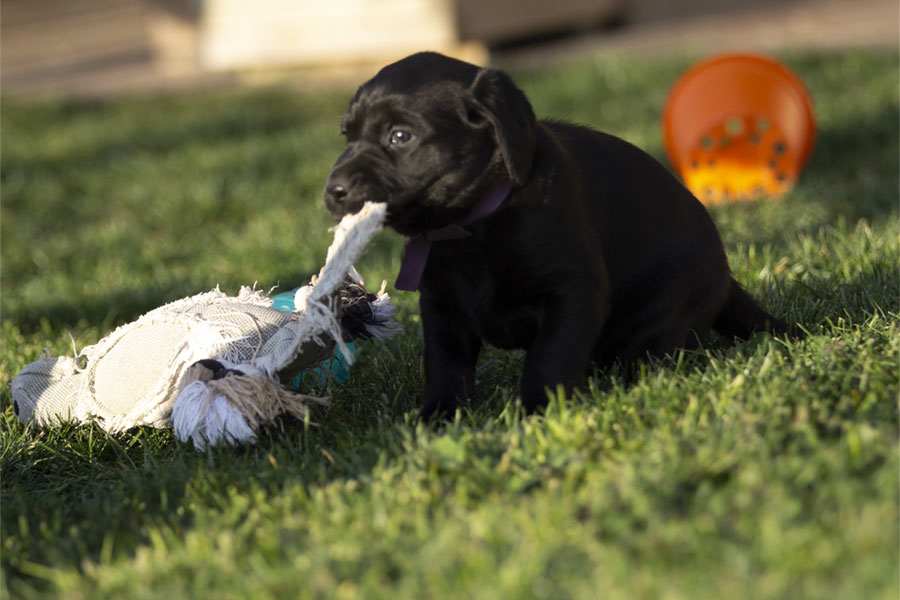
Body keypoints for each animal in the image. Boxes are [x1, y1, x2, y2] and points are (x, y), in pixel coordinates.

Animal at [324, 51, 794, 419]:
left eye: (399, 136)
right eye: (347, 135)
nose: (333, 190)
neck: (474, 226)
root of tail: (727, 280)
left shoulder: (571, 294)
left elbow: (549, 359)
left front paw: (539, 414)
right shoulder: (442, 306)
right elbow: (445, 366)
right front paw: (437, 418)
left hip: (665, 312)